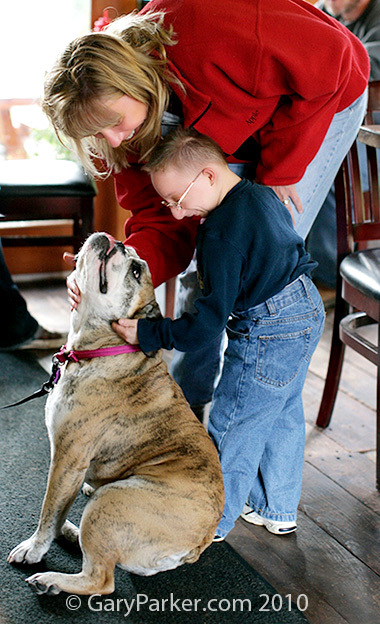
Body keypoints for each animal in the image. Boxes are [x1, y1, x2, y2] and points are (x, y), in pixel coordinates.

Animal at [7, 233, 224, 596]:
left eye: (136, 270)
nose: (117, 241)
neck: (99, 348)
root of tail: (199, 544)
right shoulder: (70, 466)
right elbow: (56, 508)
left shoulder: (67, 459)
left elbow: (48, 509)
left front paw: (34, 548)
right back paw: (71, 532)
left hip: (110, 502)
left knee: (101, 579)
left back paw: (51, 581)